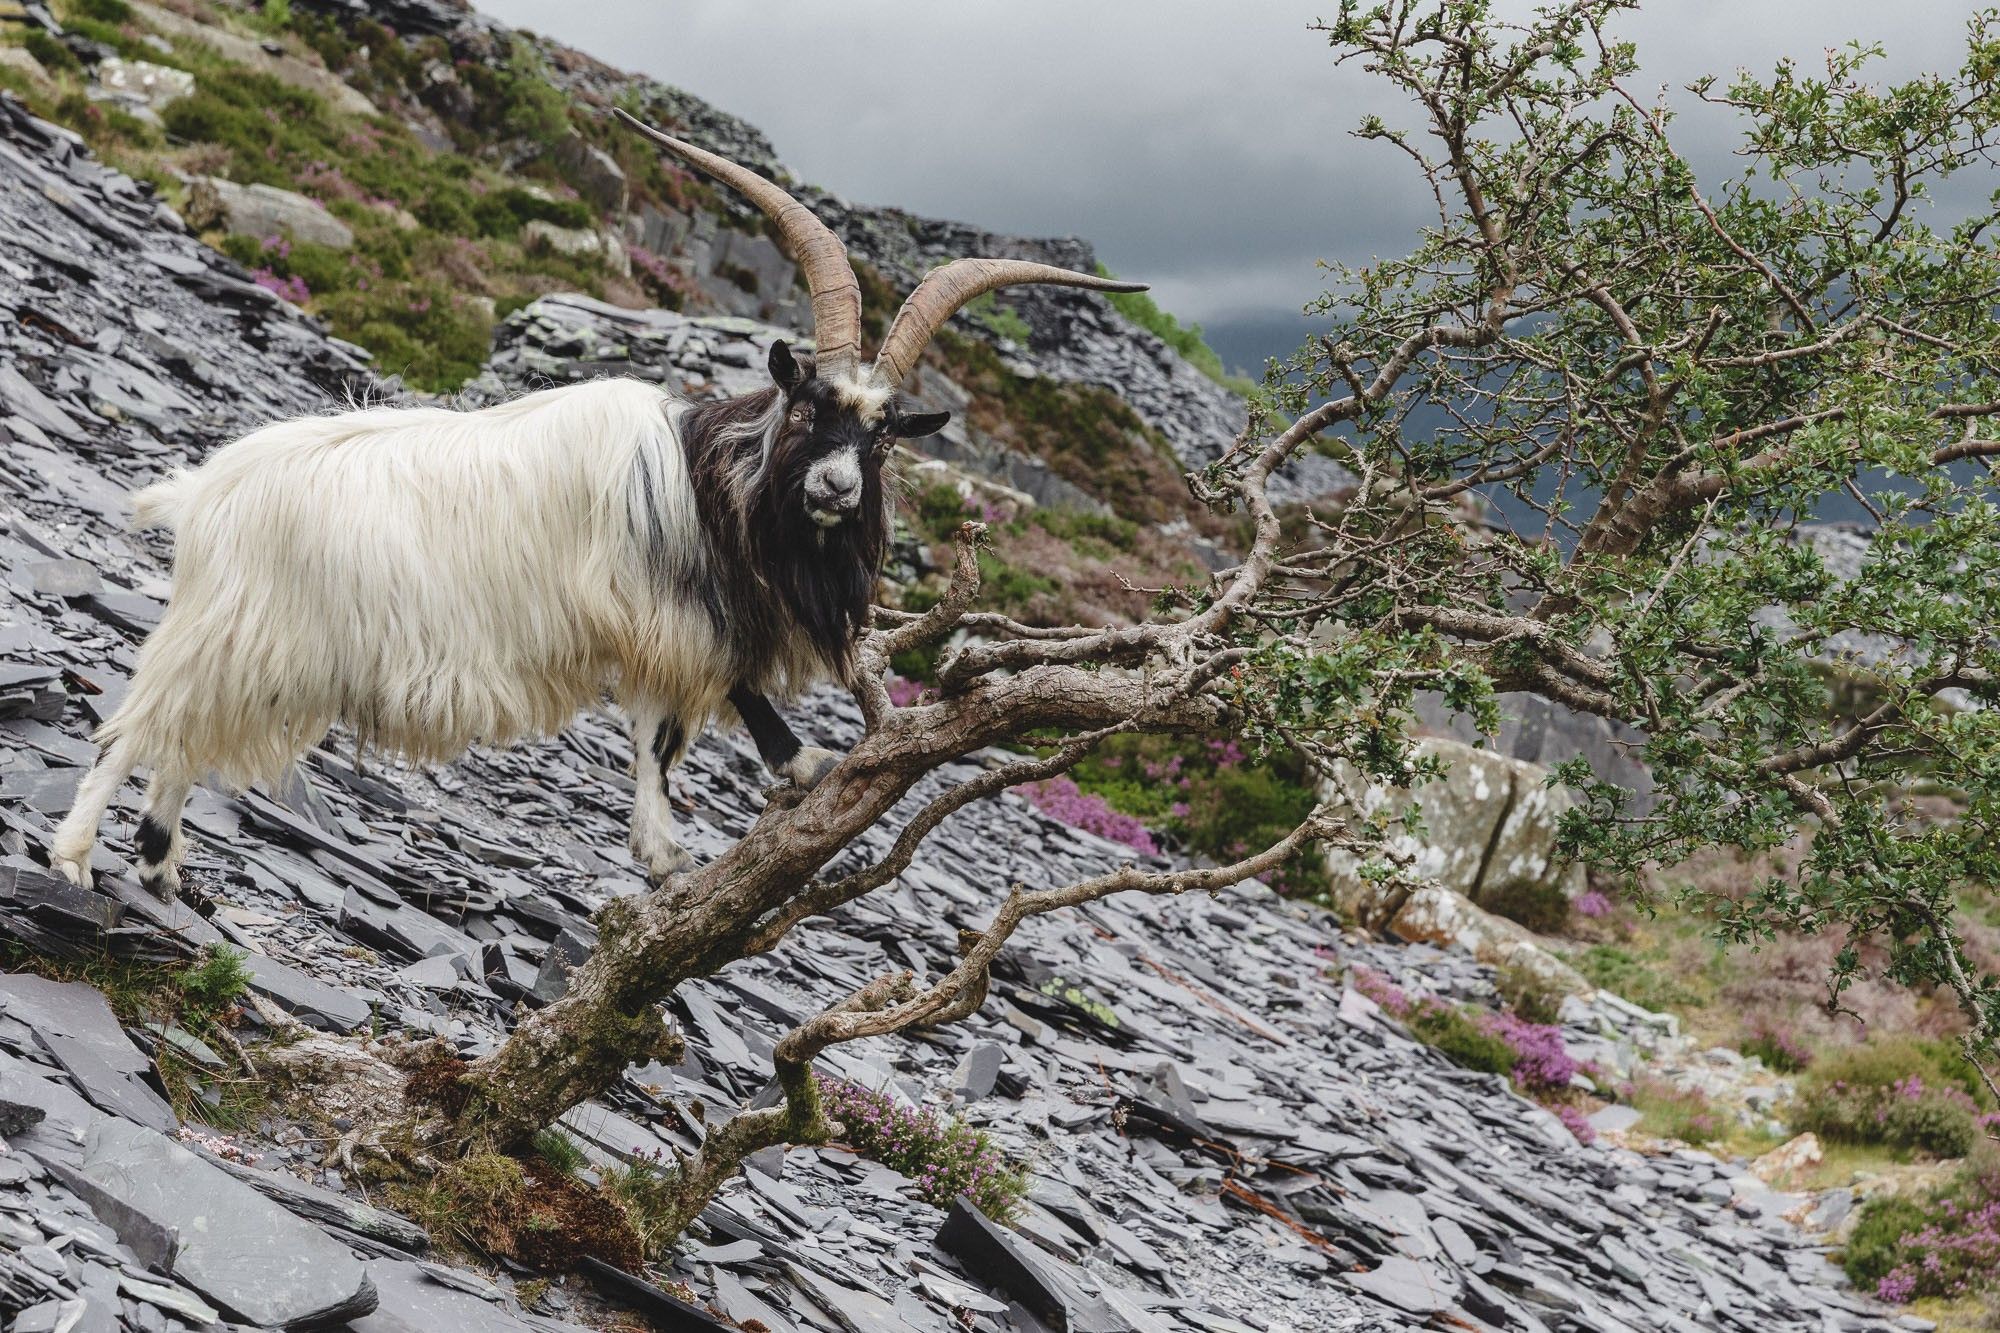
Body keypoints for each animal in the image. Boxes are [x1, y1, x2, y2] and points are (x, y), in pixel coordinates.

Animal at [50, 114, 1144, 896]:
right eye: (806, 404)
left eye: (880, 436)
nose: (835, 488)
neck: (708, 485)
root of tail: (205, 490)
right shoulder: (657, 615)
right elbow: (690, 715)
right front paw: (764, 786)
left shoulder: (674, 628)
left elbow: (672, 730)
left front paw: (679, 840)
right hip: (232, 631)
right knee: (134, 728)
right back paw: (74, 852)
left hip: (269, 656)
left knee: (183, 743)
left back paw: (160, 863)